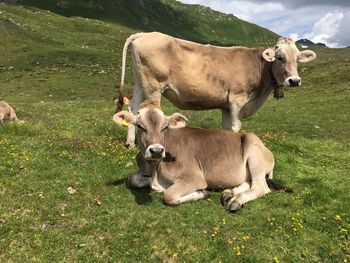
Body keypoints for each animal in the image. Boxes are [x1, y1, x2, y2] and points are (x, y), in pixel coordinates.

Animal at [113, 104, 292, 212]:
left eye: (164, 127)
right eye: (140, 126)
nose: (156, 150)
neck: (155, 169)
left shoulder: (194, 177)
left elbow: (168, 195)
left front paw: (201, 193)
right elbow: (130, 180)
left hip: (254, 151)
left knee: (260, 186)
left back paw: (236, 200)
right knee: (248, 182)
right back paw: (228, 193)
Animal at [115, 32, 318, 146]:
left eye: (298, 59)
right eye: (279, 58)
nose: (294, 80)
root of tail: (145, 34)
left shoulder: (226, 105)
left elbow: (227, 128)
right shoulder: (237, 98)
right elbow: (236, 127)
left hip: (141, 82)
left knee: (133, 109)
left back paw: (131, 142)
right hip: (153, 85)